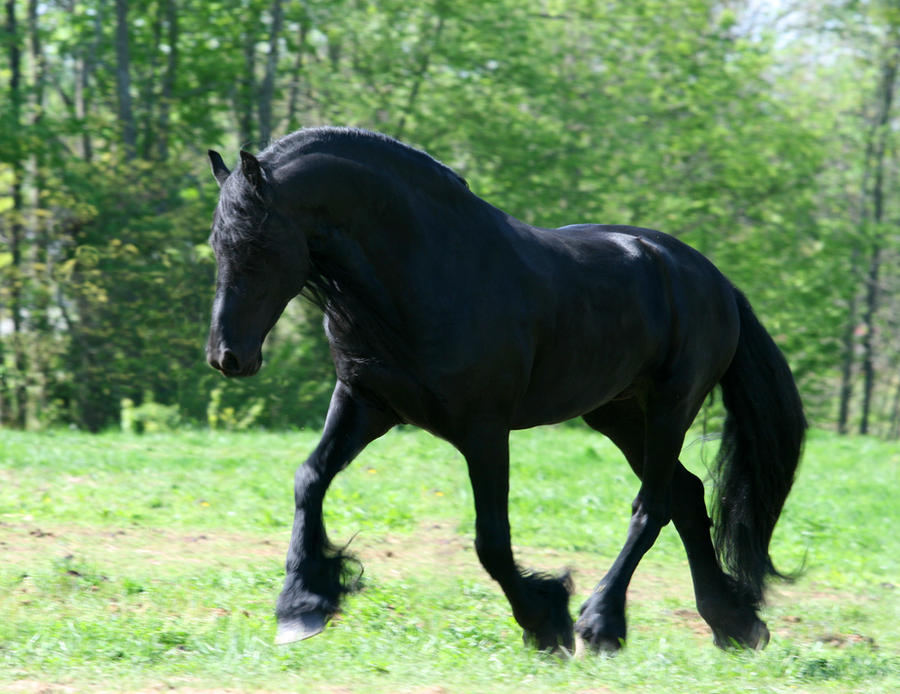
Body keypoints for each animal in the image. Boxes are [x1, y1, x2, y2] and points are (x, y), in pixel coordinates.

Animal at [207, 128, 804, 656]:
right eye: (217, 243)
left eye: (258, 243)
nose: (227, 356)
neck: (427, 274)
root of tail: (713, 278)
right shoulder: (365, 403)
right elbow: (309, 480)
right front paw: (303, 602)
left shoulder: (484, 429)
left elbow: (491, 540)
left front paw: (545, 621)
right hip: (617, 414)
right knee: (685, 495)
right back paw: (733, 624)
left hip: (669, 408)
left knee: (653, 506)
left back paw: (601, 622)